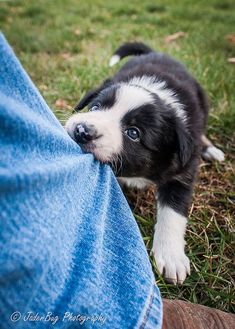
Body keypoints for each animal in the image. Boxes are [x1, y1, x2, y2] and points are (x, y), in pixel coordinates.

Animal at [65, 42, 224, 284]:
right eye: (95, 108)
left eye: (133, 133)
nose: (82, 131)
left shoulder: (183, 171)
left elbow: (173, 212)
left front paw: (171, 256)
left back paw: (211, 149)